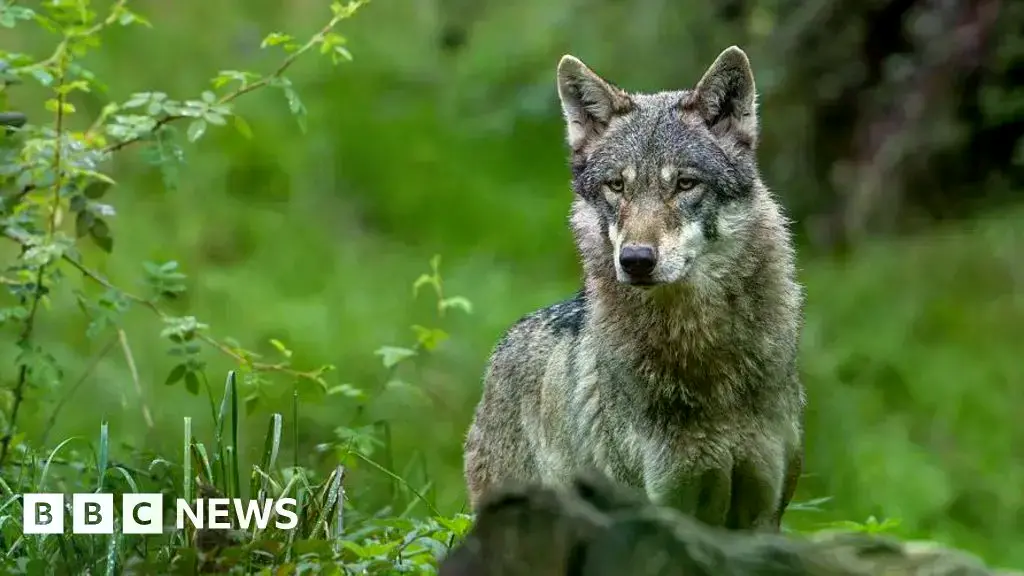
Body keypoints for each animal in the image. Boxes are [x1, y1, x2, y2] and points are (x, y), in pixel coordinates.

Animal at [463, 46, 806, 531]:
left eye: (685, 183)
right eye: (617, 186)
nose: (636, 260)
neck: (701, 354)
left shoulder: (762, 510)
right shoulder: (661, 507)